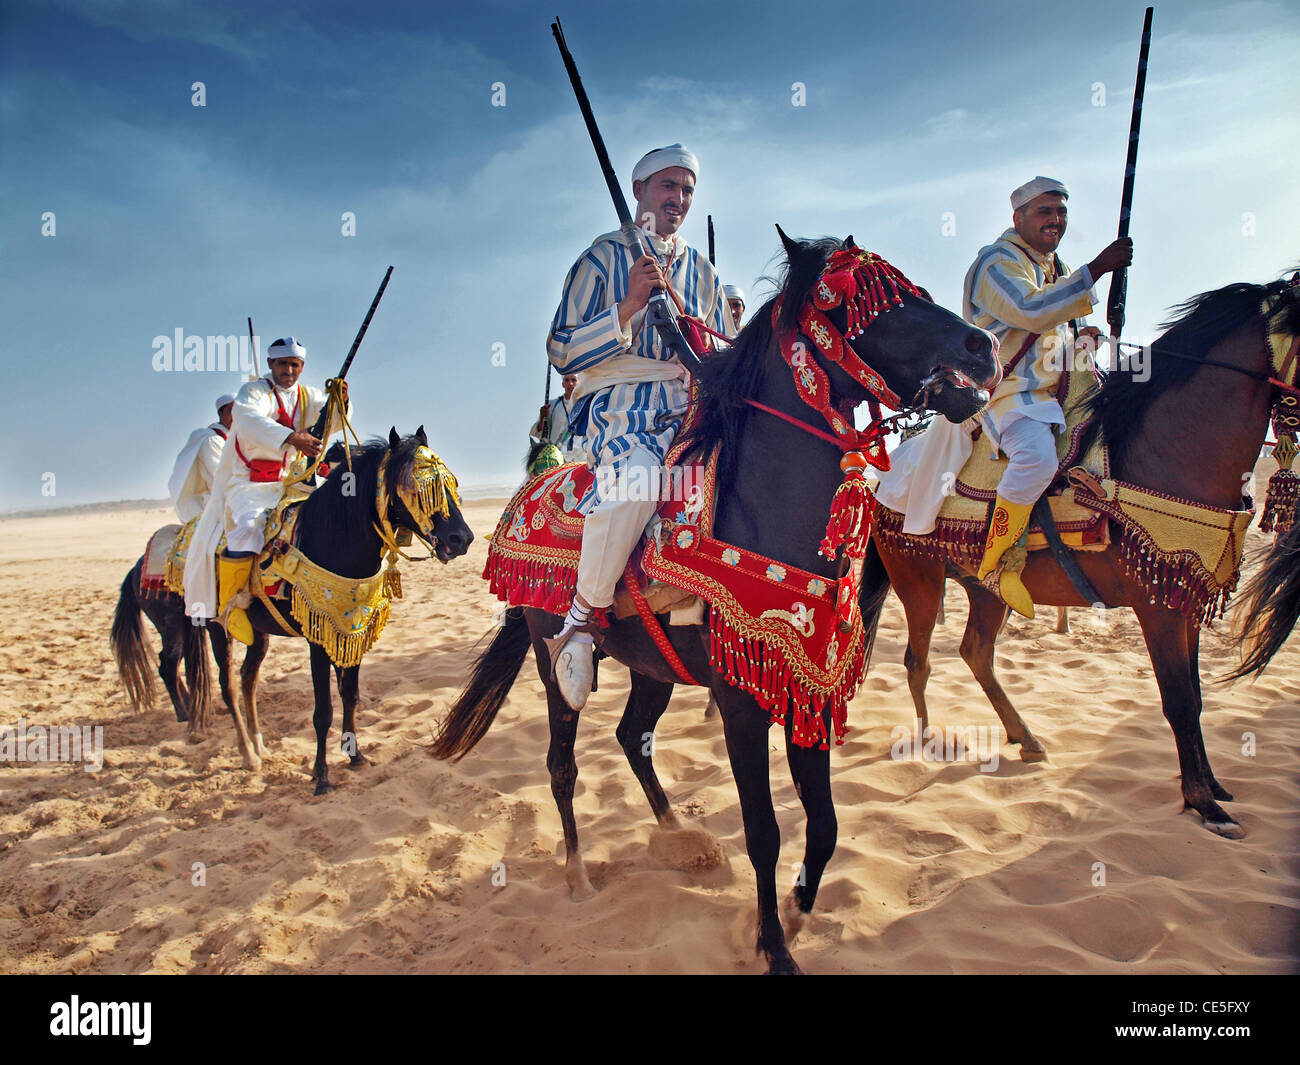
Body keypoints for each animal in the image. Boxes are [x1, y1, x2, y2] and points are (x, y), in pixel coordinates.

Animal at [113, 431, 473, 790]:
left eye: (450, 483)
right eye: (417, 488)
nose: (462, 538)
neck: (332, 537)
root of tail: (141, 564)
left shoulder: (350, 634)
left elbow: (350, 695)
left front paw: (355, 757)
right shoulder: (318, 638)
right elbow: (323, 711)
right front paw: (321, 776)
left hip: (254, 634)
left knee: (245, 679)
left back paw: (255, 743)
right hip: (202, 627)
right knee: (219, 684)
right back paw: (242, 751)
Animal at [431, 237, 998, 977]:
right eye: (862, 304)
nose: (983, 345)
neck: (764, 510)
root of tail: (530, 493)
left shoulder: (804, 687)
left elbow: (825, 824)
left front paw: (796, 911)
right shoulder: (740, 702)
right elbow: (765, 831)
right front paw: (774, 946)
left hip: (653, 666)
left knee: (631, 738)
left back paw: (681, 836)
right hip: (554, 663)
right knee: (563, 762)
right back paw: (579, 874)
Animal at [863, 269, 1300, 842]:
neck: (1163, 452)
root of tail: (882, 478)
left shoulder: (1182, 597)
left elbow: (1197, 696)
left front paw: (1213, 788)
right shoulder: (1156, 607)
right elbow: (1180, 702)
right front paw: (1204, 804)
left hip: (986, 587)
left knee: (976, 652)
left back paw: (1024, 737)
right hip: (918, 578)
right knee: (919, 660)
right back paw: (928, 741)